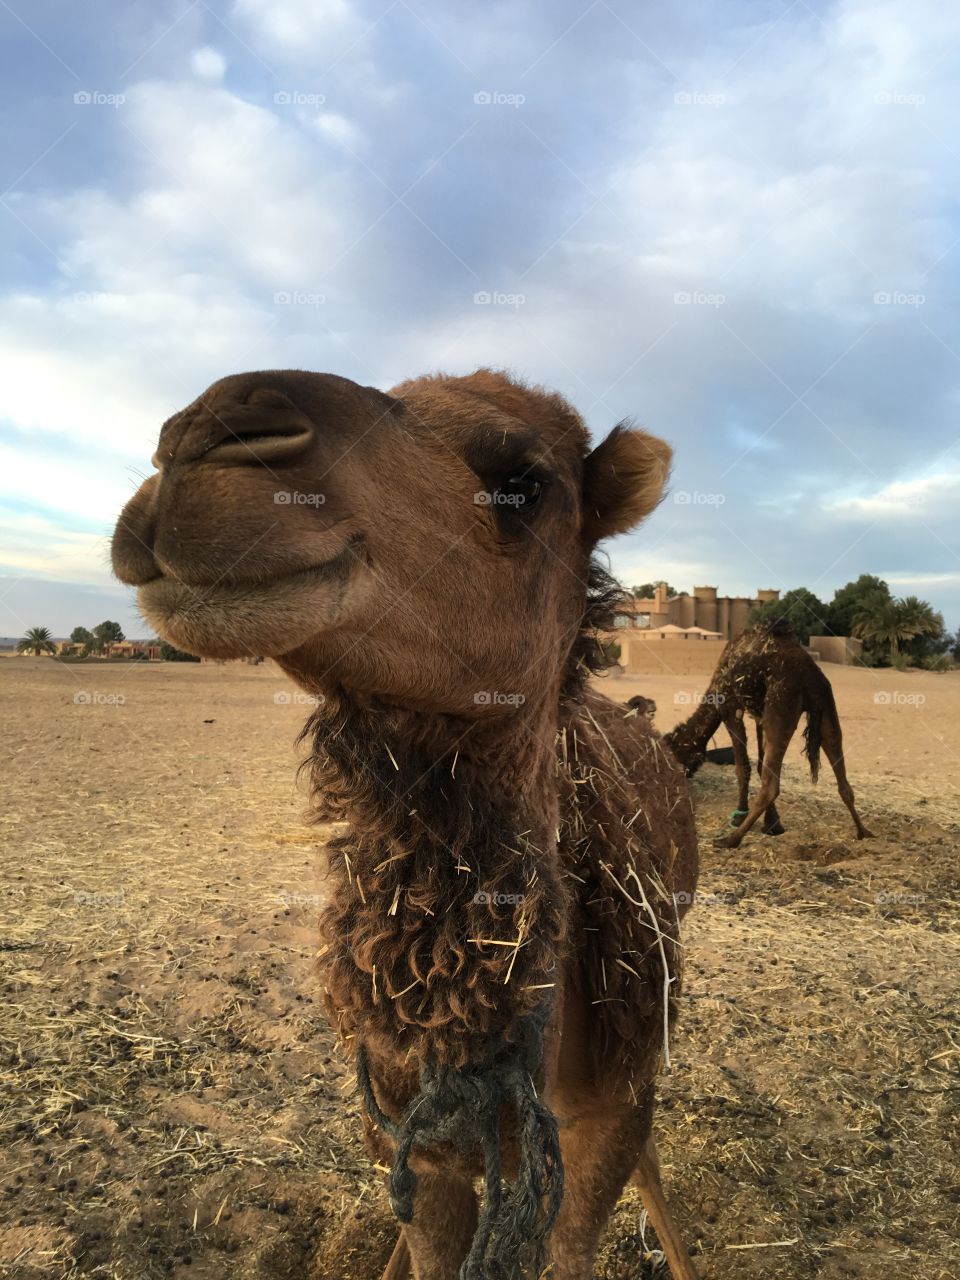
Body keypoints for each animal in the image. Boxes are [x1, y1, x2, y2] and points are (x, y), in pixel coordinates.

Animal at [664, 619, 872, 849]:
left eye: (674, 755)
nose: (678, 783)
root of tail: (810, 677)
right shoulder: (759, 715)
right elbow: (759, 763)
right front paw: (772, 823)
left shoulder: (730, 707)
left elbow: (742, 766)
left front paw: (741, 817)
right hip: (826, 709)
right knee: (842, 778)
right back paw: (864, 832)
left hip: (781, 707)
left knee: (771, 785)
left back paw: (730, 839)